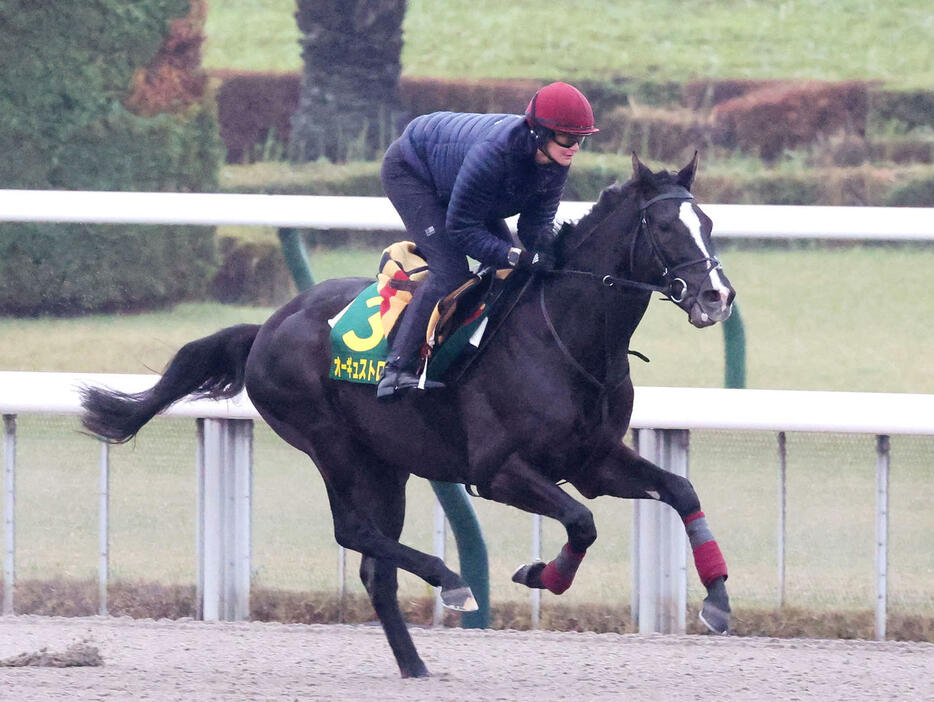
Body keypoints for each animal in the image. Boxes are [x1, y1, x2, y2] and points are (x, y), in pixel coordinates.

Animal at [80, 154, 740, 680]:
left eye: (707, 223)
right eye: (664, 226)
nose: (717, 296)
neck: (566, 336)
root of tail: (266, 326)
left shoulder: (593, 460)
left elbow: (679, 491)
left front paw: (717, 600)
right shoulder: (497, 471)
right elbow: (581, 521)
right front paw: (539, 575)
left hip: (386, 464)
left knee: (376, 570)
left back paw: (416, 665)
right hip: (331, 444)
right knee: (354, 533)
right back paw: (450, 581)